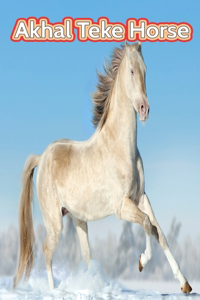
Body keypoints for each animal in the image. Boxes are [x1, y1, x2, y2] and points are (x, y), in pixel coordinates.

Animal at [13, 41, 192, 292]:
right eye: (132, 71)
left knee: (87, 256)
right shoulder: (122, 207)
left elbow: (160, 233)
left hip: (78, 220)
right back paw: (54, 290)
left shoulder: (141, 198)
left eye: (145, 70)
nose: (144, 109)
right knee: (47, 250)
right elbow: (147, 224)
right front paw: (141, 262)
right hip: (55, 222)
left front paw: (185, 285)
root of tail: (42, 157)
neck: (121, 148)